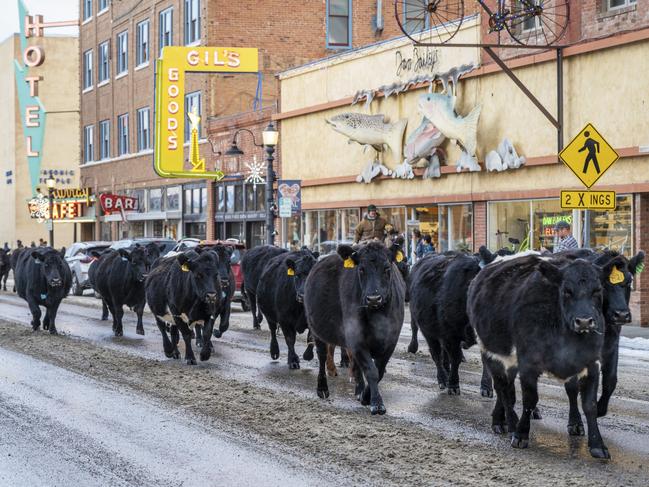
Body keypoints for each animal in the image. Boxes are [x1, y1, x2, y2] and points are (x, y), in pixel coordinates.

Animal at [306, 241, 404, 416]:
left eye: (387, 268)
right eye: (361, 269)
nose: (374, 298)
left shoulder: (391, 340)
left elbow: (378, 370)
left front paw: (365, 396)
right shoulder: (356, 337)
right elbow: (371, 371)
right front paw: (376, 403)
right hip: (317, 331)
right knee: (322, 356)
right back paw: (322, 388)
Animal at [410, 254, 480, 394]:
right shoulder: (449, 334)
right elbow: (455, 358)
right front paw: (453, 385)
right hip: (428, 330)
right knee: (436, 353)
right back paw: (442, 378)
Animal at [468, 258, 612, 460]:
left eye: (597, 290)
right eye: (566, 290)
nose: (584, 321)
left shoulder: (591, 364)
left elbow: (589, 404)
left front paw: (598, 445)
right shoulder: (528, 363)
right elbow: (530, 399)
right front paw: (521, 435)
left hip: (511, 361)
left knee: (507, 387)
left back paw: (502, 419)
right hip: (489, 351)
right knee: (502, 388)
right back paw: (507, 423)